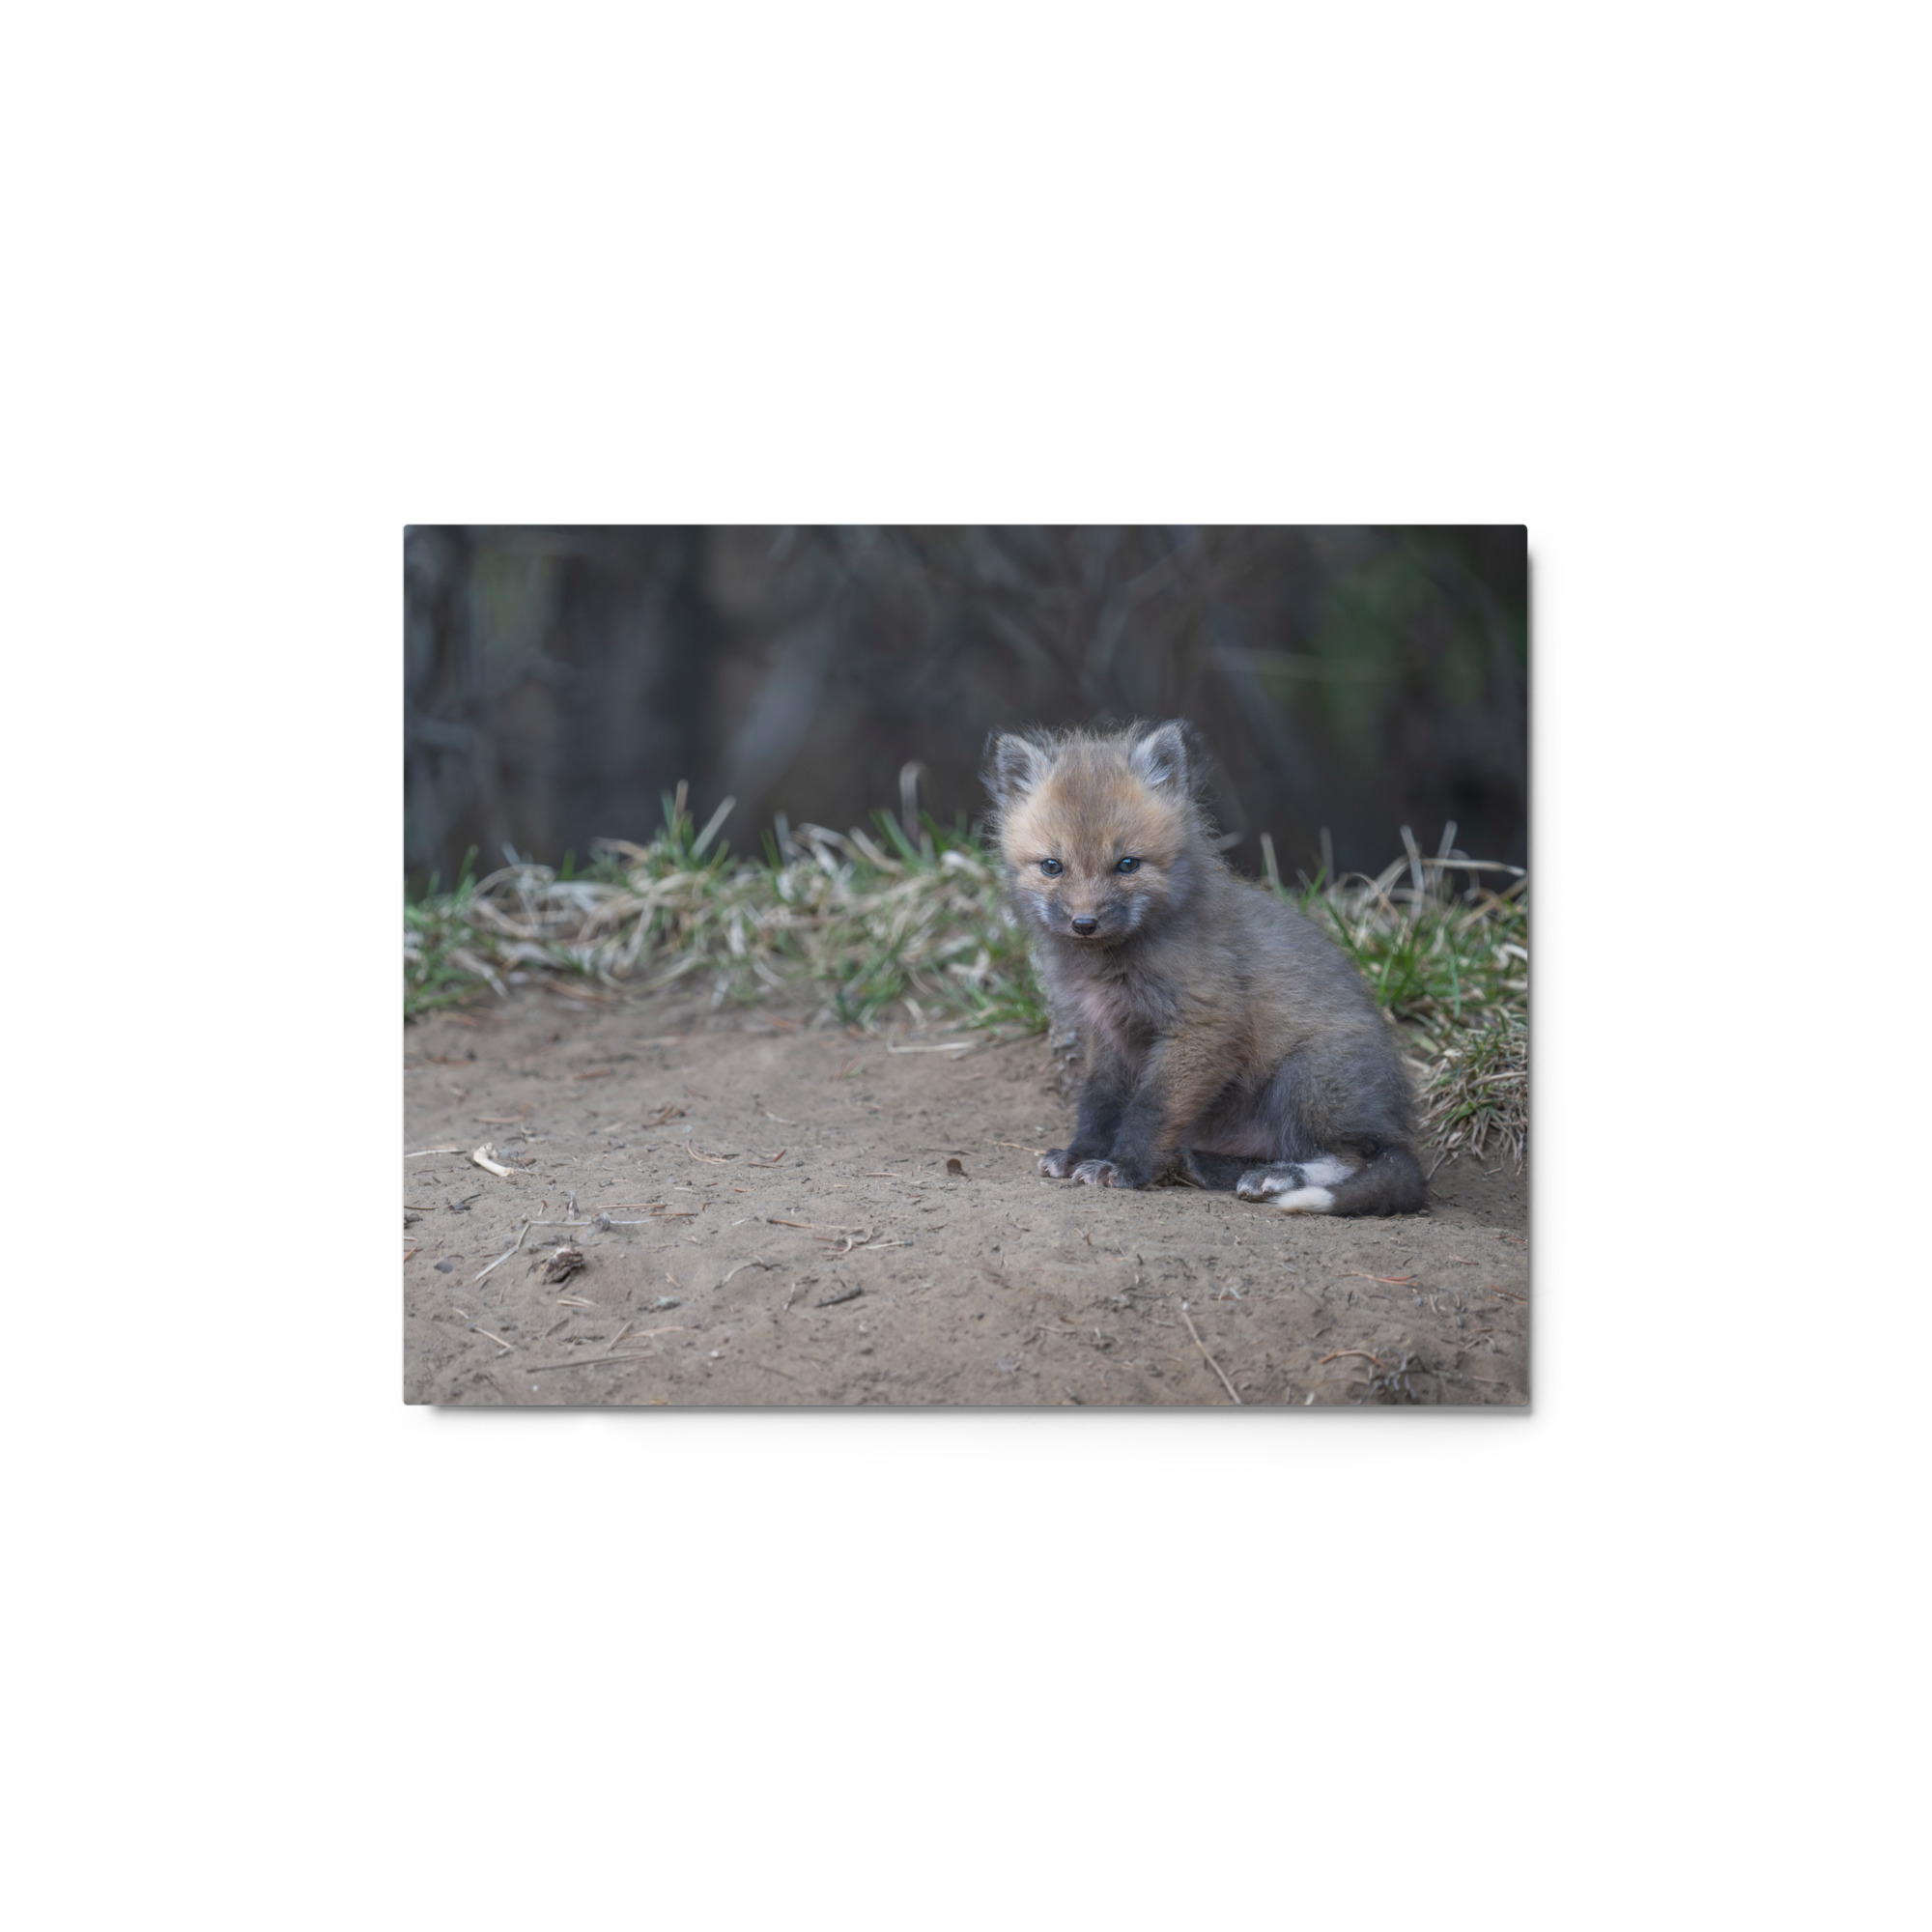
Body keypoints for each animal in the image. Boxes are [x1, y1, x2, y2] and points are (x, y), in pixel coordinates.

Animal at [984, 720, 1425, 1217]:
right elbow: (1099, 1103)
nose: (1084, 923)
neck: (1111, 966)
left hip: (1306, 1078)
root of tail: (1396, 1124)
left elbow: (1150, 1108)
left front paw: (1125, 1168)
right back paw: (1211, 1166)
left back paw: (1278, 1177)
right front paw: (1082, 1154)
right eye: (1052, 866)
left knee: (1356, 1157)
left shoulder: (1203, 1026)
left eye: (1127, 864)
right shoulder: (1108, 1034)